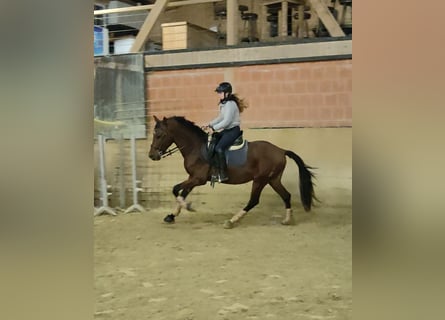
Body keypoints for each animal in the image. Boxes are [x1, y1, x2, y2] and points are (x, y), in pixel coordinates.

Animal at [148, 115, 316, 228]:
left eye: (159, 135)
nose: (152, 155)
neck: (196, 148)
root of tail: (281, 150)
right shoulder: (192, 178)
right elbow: (182, 193)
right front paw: (171, 215)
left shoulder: (198, 179)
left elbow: (175, 189)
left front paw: (188, 207)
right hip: (273, 179)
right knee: (286, 195)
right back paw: (287, 220)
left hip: (260, 180)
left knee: (253, 201)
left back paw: (232, 220)